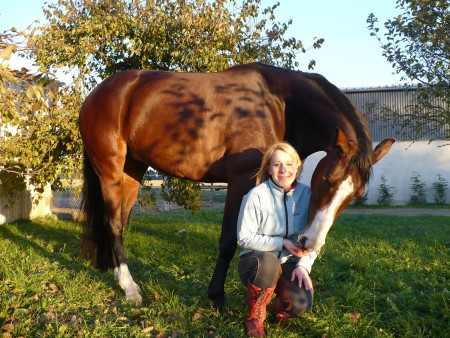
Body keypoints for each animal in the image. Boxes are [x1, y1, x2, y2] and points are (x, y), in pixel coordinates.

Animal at [78, 62, 394, 308]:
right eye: (328, 180)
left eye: (355, 194)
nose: (310, 243)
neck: (278, 104)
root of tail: (97, 95)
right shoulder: (242, 179)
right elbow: (229, 239)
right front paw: (217, 296)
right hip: (110, 168)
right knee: (114, 224)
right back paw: (130, 289)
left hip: (132, 169)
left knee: (120, 221)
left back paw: (119, 277)